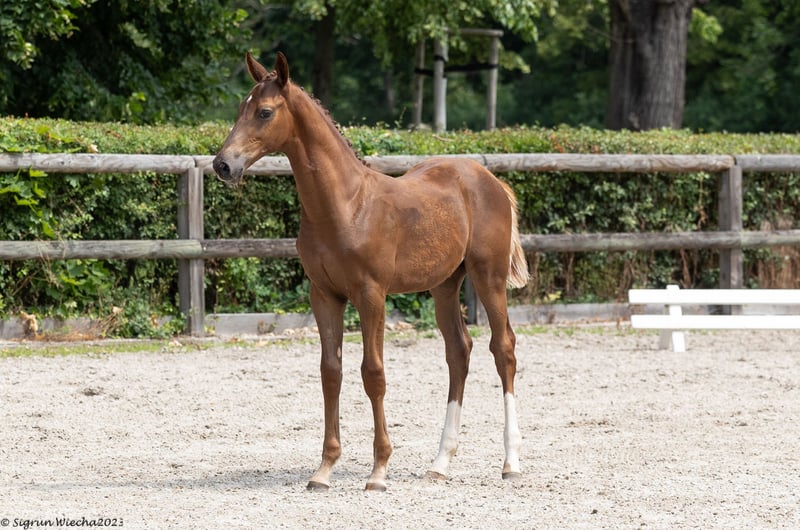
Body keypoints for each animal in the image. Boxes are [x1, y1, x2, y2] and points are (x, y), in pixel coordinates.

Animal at [213, 52, 529, 492]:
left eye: (264, 112)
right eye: (240, 109)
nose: (223, 165)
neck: (346, 205)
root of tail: (491, 180)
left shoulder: (371, 294)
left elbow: (373, 373)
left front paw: (379, 470)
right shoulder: (324, 295)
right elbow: (331, 373)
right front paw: (324, 469)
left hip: (489, 277)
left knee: (503, 350)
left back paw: (511, 462)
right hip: (445, 285)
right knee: (458, 351)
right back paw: (440, 463)